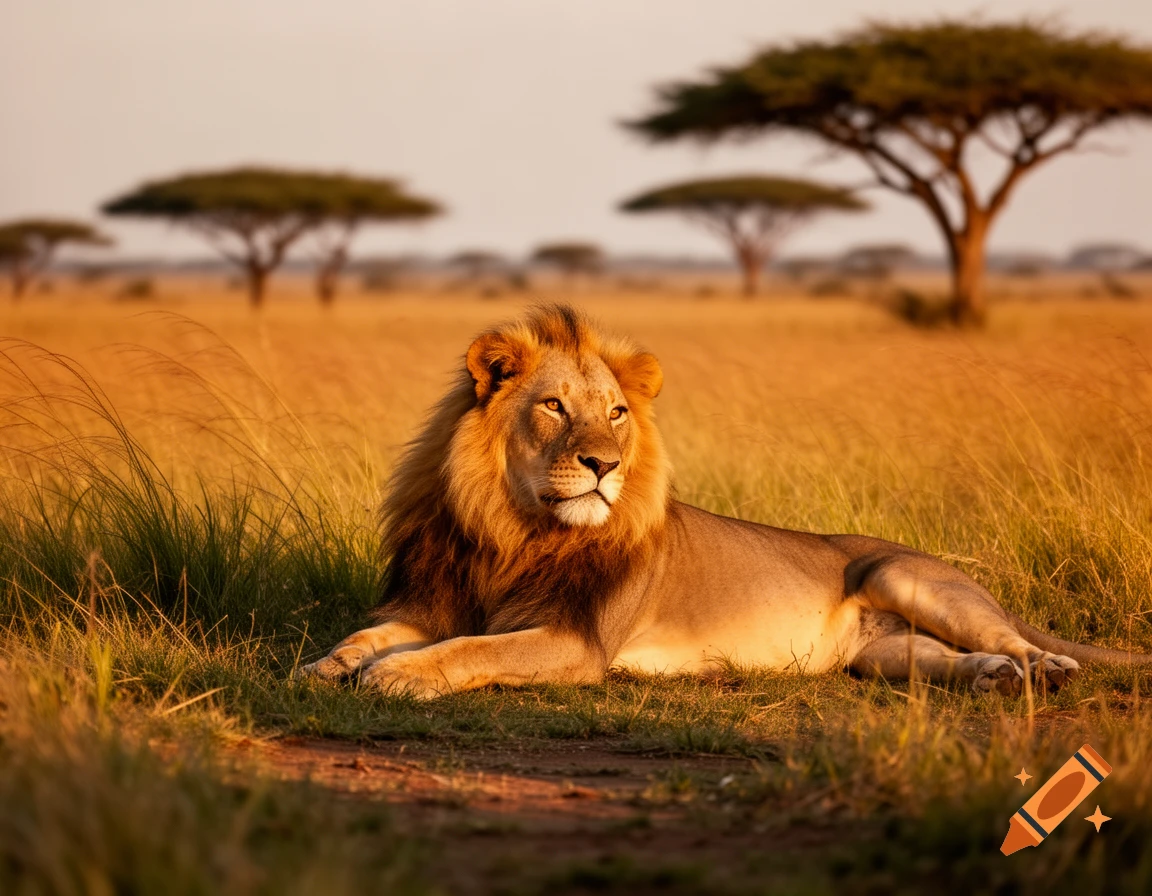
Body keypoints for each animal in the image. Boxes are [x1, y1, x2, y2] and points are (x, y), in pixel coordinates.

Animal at [301, 304, 1152, 698]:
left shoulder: (576, 642)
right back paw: (993, 678)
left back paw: (1042, 670)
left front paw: (398, 676)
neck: (514, 526)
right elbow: (367, 636)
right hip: (881, 654)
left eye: (616, 412)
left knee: (1017, 640)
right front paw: (321, 667)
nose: (604, 464)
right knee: (945, 660)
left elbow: (474, 650)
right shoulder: (429, 604)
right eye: (553, 406)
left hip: (902, 576)